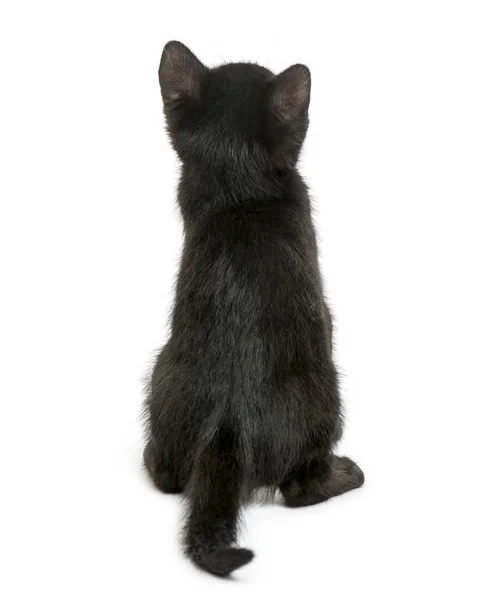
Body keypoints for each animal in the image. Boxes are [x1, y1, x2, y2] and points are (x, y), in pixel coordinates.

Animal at [143, 41, 366, 576]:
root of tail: (227, 424)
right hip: (328, 394)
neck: (238, 192)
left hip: (162, 373)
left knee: (168, 475)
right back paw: (345, 473)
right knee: (301, 487)